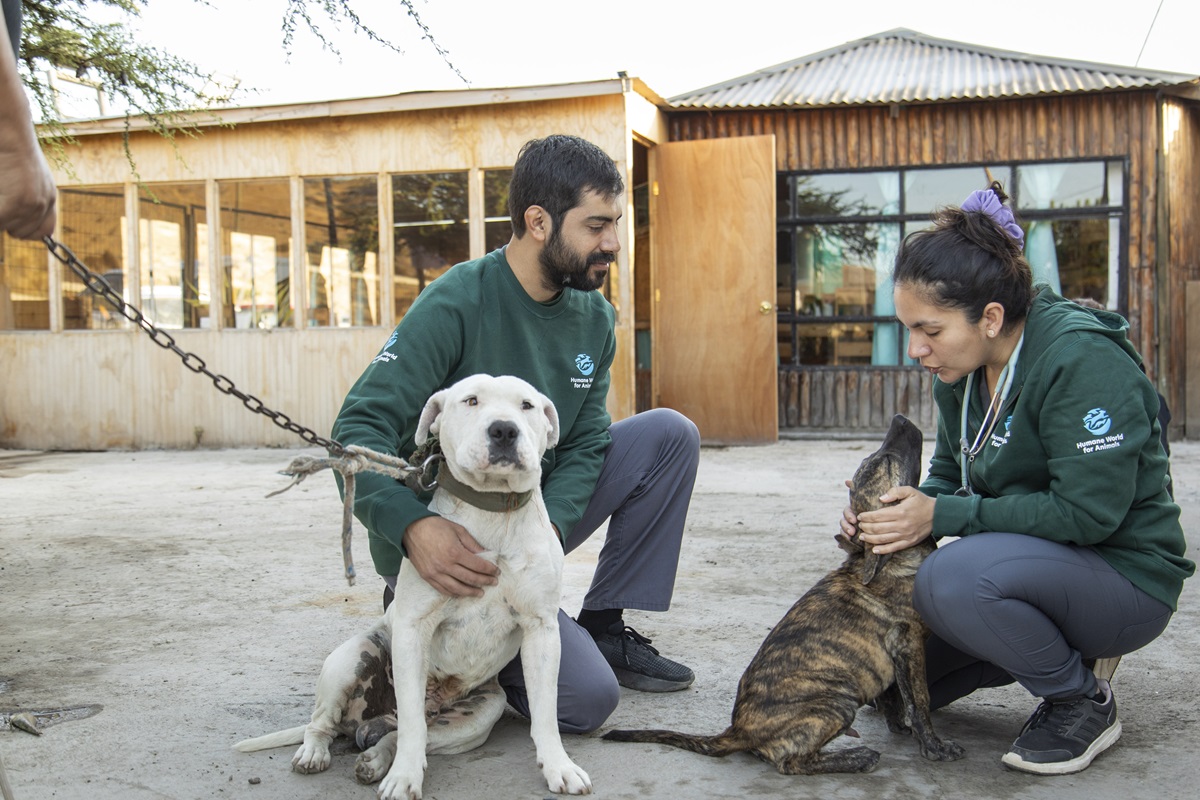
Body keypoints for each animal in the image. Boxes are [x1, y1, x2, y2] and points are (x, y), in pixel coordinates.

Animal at [234, 376, 590, 800]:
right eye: (471, 401)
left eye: (527, 406)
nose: (504, 430)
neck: (492, 509)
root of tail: (374, 718)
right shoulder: (414, 628)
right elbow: (411, 725)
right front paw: (404, 777)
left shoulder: (541, 631)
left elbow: (546, 713)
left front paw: (559, 766)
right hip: (350, 659)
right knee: (330, 722)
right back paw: (315, 753)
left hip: (476, 717)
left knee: (409, 734)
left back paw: (376, 759)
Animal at [604, 417, 960, 772]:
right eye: (886, 462)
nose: (900, 418)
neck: (889, 559)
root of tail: (737, 731)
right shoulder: (909, 645)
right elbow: (920, 700)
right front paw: (934, 747)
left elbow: (894, 696)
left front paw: (900, 726)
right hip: (837, 699)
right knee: (793, 762)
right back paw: (857, 757)